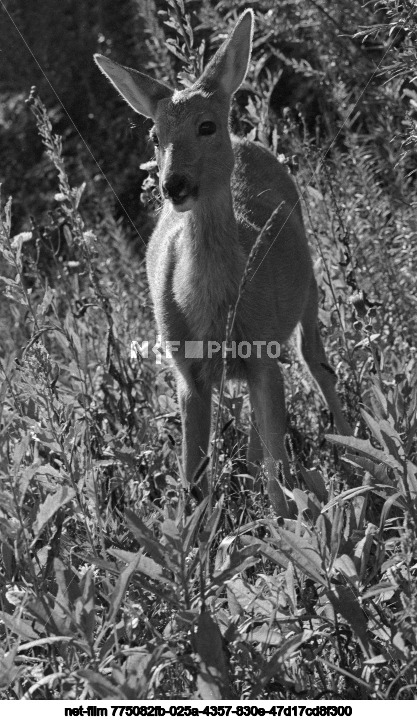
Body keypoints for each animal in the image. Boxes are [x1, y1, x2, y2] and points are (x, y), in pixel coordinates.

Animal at [95, 8, 352, 516]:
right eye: (155, 135)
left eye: (206, 126)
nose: (173, 184)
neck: (214, 309)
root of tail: (247, 139)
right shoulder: (186, 371)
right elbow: (192, 478)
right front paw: (197, 533)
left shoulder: (263, 352)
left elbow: (276, 471)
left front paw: (285, 529)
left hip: (309, 294)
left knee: (317, 365)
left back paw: (357, 452)